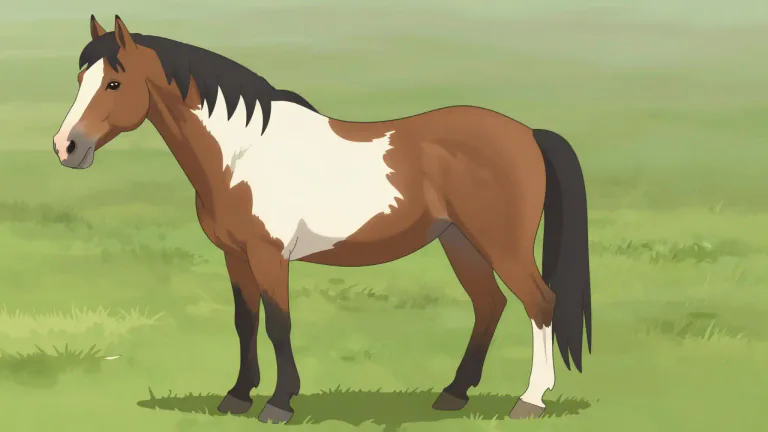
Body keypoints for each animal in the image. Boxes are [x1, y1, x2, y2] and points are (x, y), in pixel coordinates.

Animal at [52, 15, 592, 424]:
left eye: (115, 82)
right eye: (80, 81)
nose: (66, 147)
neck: (242, 153)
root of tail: (528, 133)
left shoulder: (270, 256)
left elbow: (278, 324)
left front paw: (278, 403)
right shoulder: (235, 256)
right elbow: (245, 321)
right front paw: (237, 397)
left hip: (501, 244)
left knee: (539, 302)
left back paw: (529, 400)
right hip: (459, 241)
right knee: (489, 305)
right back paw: (453, 394)